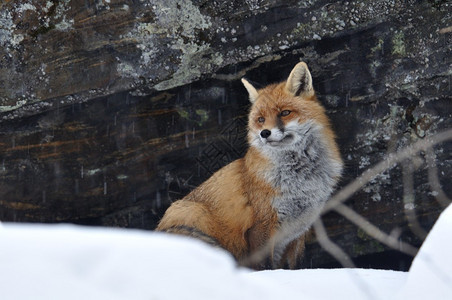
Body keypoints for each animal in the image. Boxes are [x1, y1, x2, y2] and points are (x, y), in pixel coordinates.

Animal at [156, 62, 342, 268]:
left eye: (285, 113)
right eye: (260, 119)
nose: (265, 133)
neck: (301, 180)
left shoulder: (299, 230)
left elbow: (298, 266)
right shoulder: (261, 225)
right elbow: (265, 266)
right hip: (191, 210)